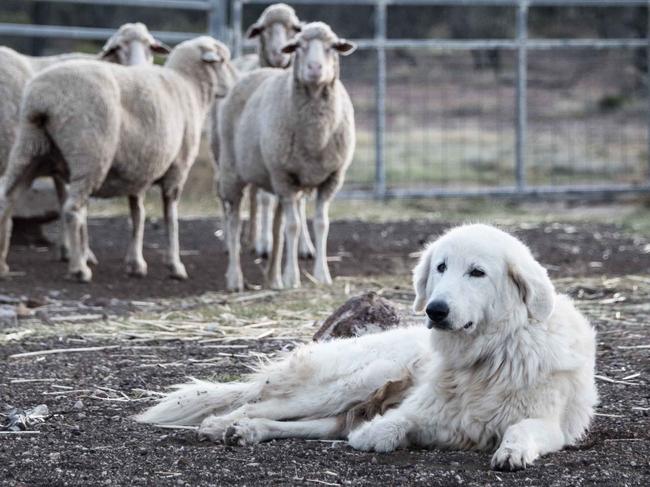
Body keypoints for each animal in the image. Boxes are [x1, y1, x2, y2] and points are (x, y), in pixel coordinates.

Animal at [137, 225, 596, 472]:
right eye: (441, 267)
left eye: (477, 272)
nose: (435, 309)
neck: (486, 357)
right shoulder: (420, 411)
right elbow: (391, 426)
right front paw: (378, 436)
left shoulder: (549, 424)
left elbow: (522, 429)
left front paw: (512, 451)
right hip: (354, 382)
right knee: (260, 405)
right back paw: (222, 424)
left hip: (340, 405)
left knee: (303, 424)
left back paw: (246, 432)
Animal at [209, 1, 312, 262]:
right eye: (264, 29)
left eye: (294, 28)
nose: (280, 54)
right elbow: (266, 198)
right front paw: (265, 244)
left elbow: (300, 200)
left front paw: (305, 246)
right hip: (222, 151)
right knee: (227, 192)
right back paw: (233, 240)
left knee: (254, 193)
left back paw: (251, 236)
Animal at [216, 21, 354, 292]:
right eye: (298, 46)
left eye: (332, 46)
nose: (314, 68)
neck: (316, 135)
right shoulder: (285, 177)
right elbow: (294, 226)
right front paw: (292, 278)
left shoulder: (331, 179)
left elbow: (321, 224)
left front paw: (322, 275)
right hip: (232, 171)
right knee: (234, 221)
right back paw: (234, 278)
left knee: (276, 224)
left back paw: (273, 277)